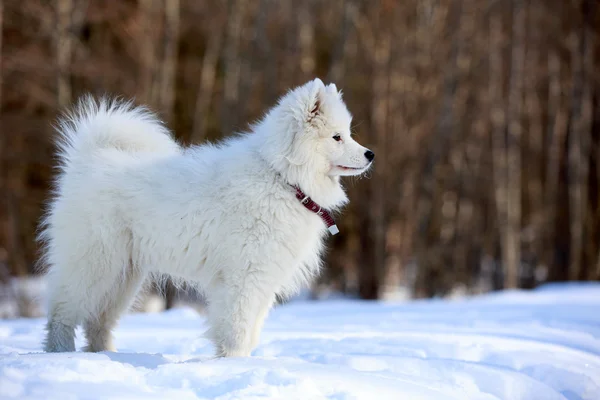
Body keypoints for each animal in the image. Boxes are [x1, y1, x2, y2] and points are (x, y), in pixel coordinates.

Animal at [39, 78, 372, 356]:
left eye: (349, 134)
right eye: (337, 137)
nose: (371, 154)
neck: (283, 178)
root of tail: (89, 161)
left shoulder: (263, 279)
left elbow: (251, 331)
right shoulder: (243, 278)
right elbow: (237, 330)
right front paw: (232, 365)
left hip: (124, 276)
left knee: (98, 322)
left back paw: (107, 357)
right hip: (93, 264)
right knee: (62, 313)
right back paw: (61, 353)